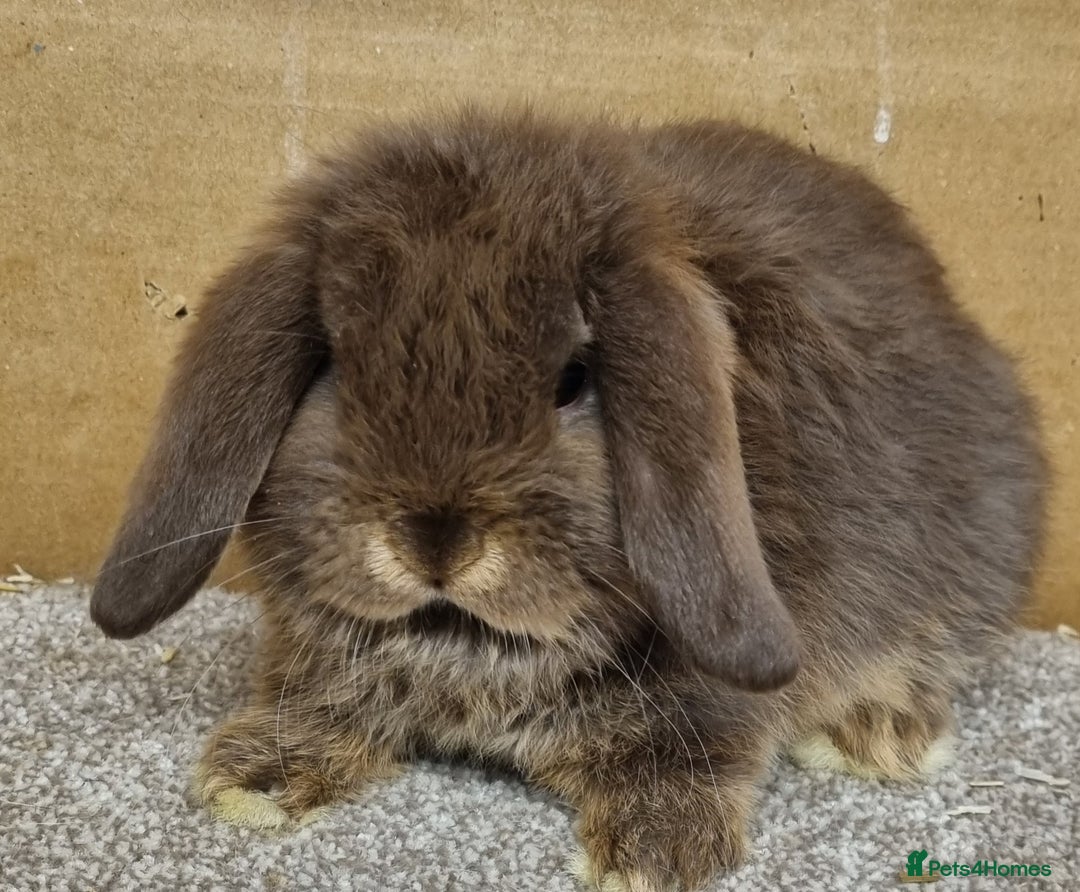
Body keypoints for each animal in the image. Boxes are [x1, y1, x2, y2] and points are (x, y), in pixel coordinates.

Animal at [90, 107, 1045, 891]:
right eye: (333, 366)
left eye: (572, 382)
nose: (434, 539)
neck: (468, 647)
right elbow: (319, 701)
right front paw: (251, 779)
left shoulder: (725, 685)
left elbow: (695, 746)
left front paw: (654, 851)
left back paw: (880, 732)